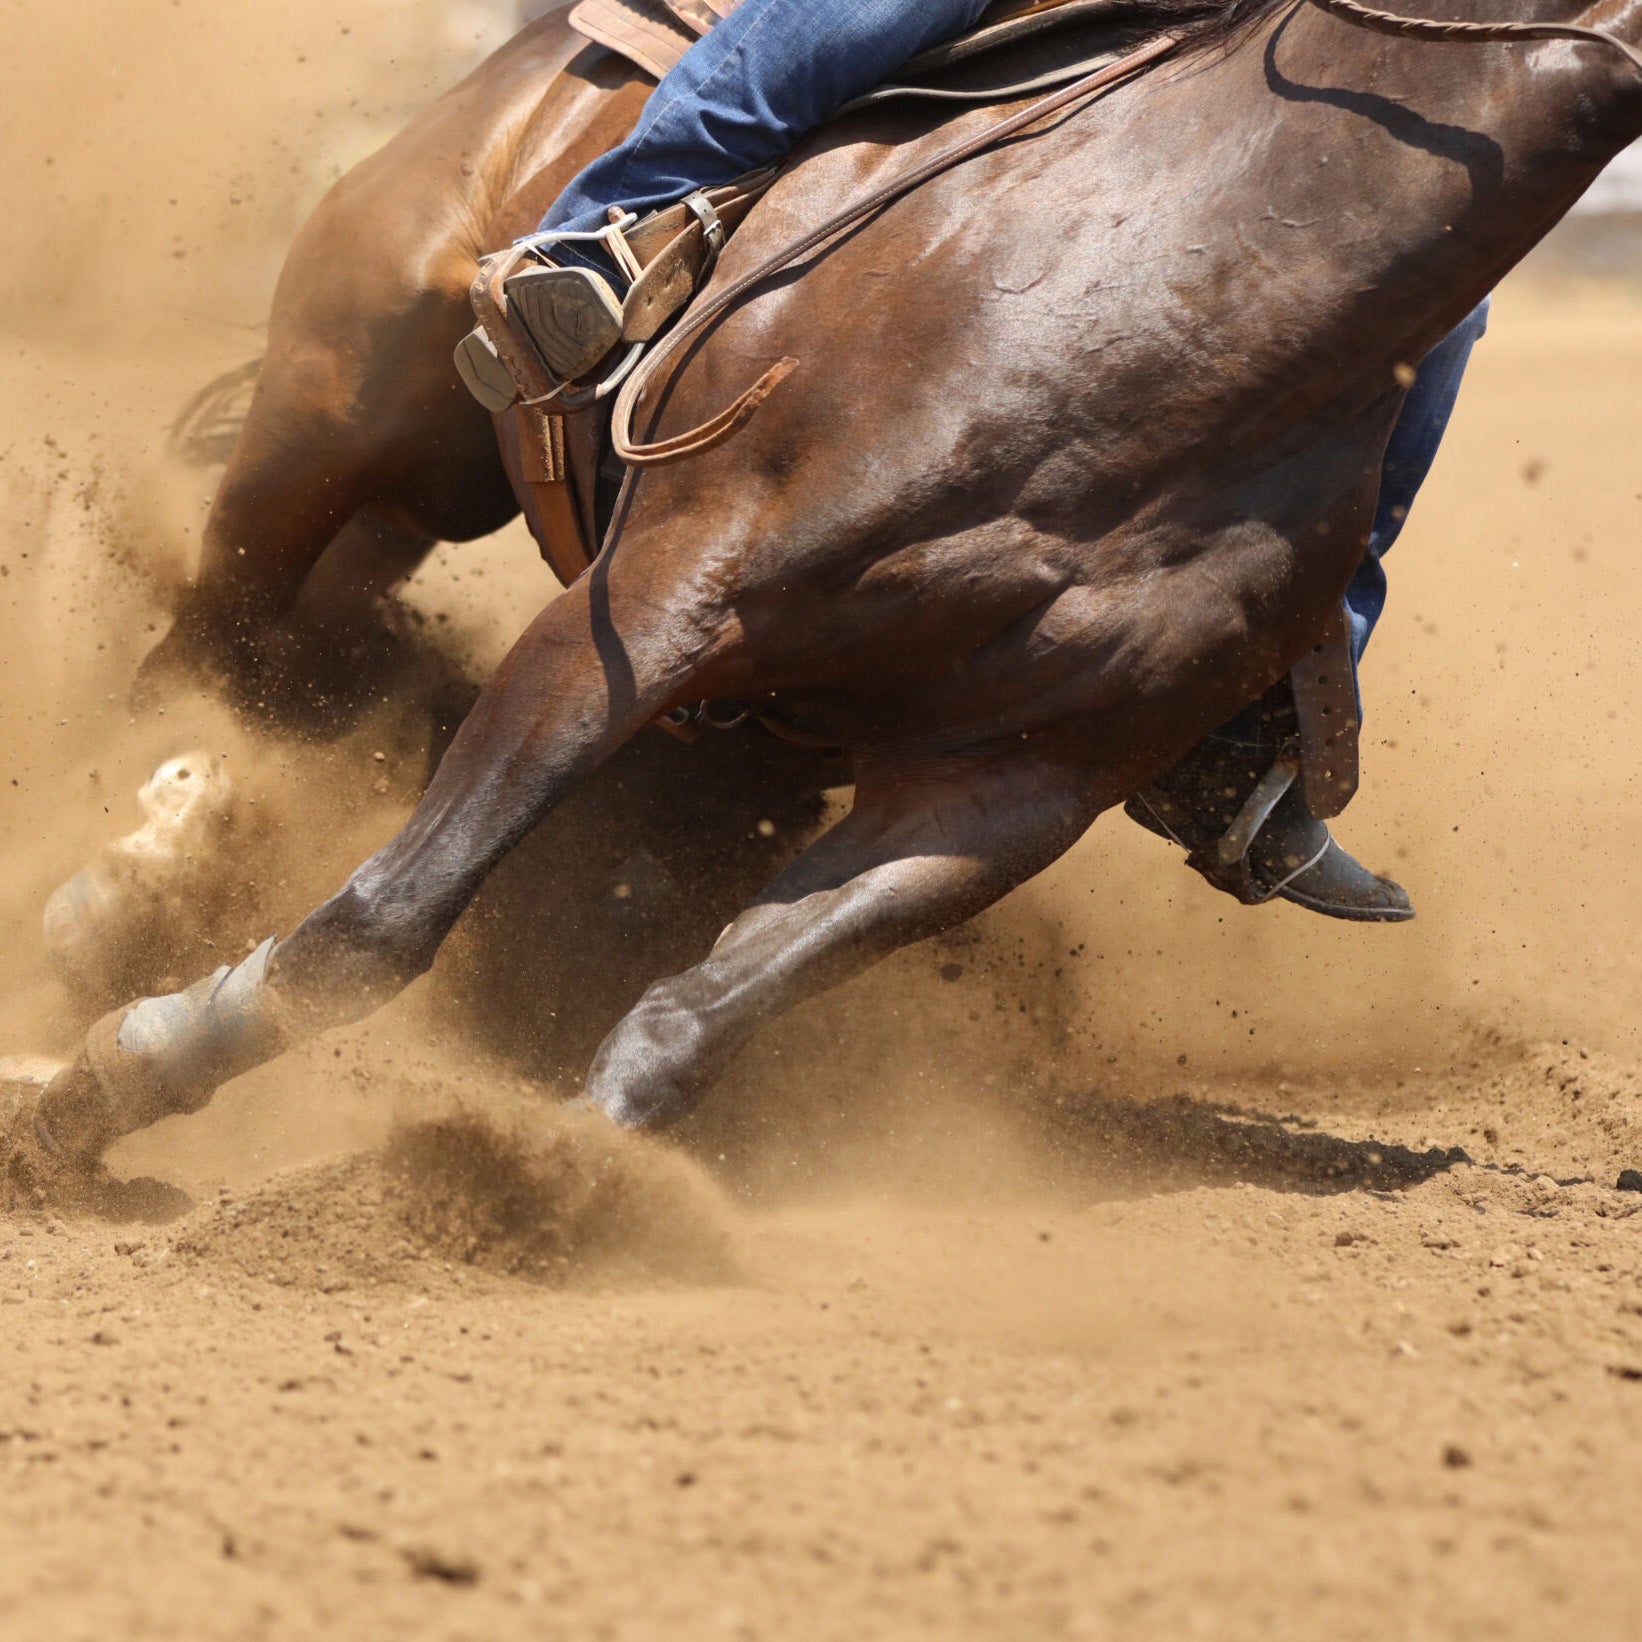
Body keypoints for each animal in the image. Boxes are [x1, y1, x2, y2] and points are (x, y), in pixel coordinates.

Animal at [13, 0, 1642, 1185]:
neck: (1202, 279)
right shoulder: (658, 602)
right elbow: (383, 924)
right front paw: (114, 1079)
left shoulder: (1005, 789)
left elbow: (698, 1014)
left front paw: (557, 1177)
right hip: (332, 423)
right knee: (215, 651)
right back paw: (114, 880)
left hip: (515, 563)